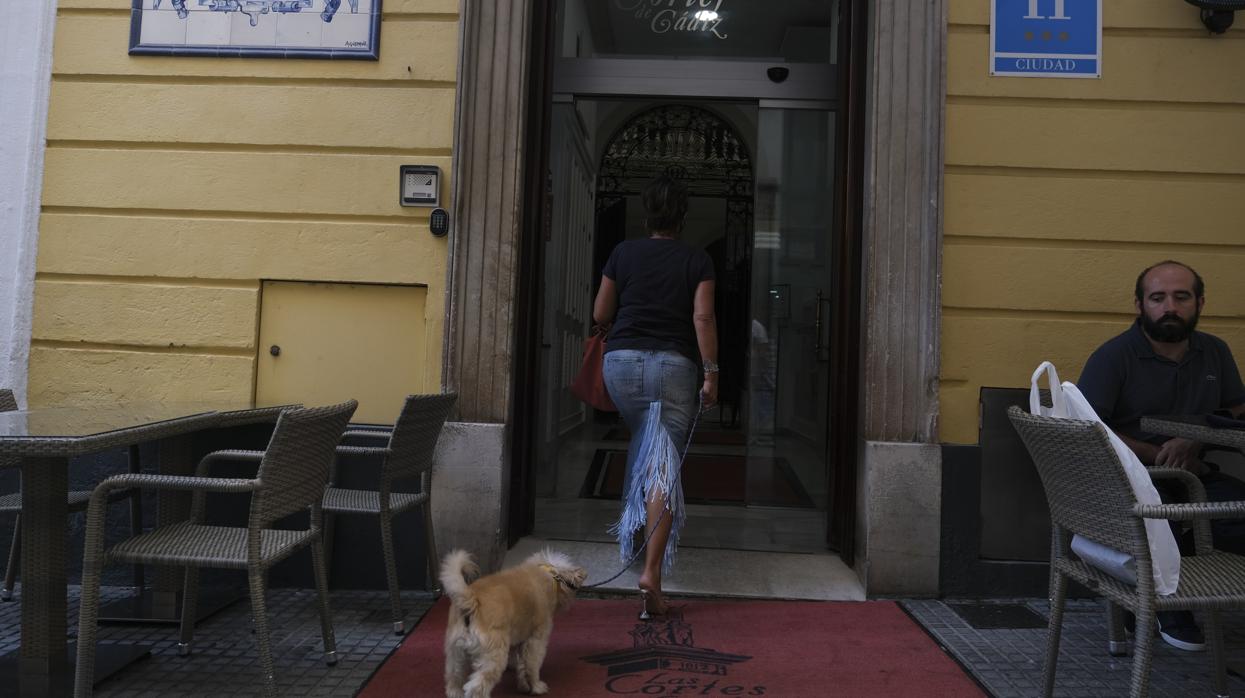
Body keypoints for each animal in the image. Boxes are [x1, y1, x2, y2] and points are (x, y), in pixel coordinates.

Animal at [443, 547, 587, 691]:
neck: (548, 575)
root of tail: (471, 601)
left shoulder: (519, 637)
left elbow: (521, 663)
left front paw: (522, 681)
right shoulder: (536, 640)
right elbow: (531, 665)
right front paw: (536, 686)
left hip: (456, 655)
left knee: (454, 682)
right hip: (493, 655)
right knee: (477, 686)